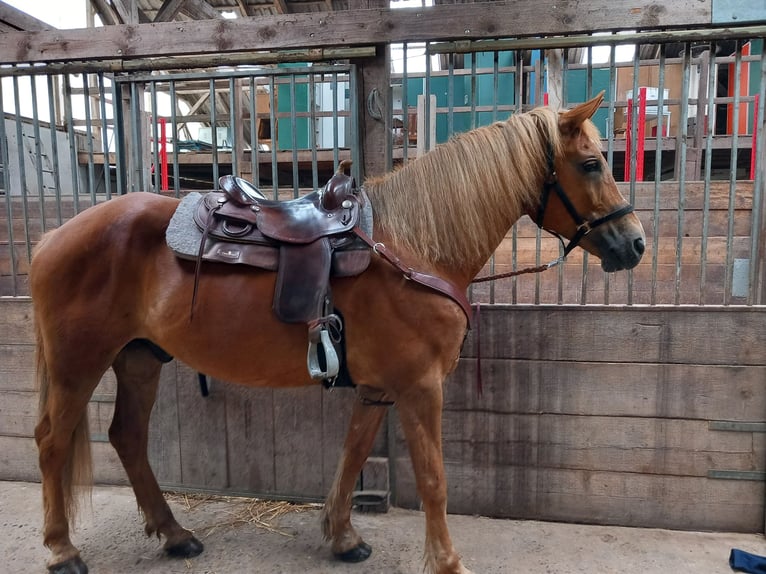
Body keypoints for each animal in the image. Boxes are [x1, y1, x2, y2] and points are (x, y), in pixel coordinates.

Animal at [28, 92, 640, 572]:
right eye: (591, 163)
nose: (634, 243)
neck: (416, 248)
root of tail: (54, 236)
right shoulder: (420, 387)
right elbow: (434, 480)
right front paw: (447, 562)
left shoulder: (378, 387)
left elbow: (353, 453)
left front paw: (343, 538)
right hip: (78, 363)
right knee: (53, 441)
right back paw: (62, 551)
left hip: (138, 358)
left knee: (128, 437)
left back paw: (176, 536)